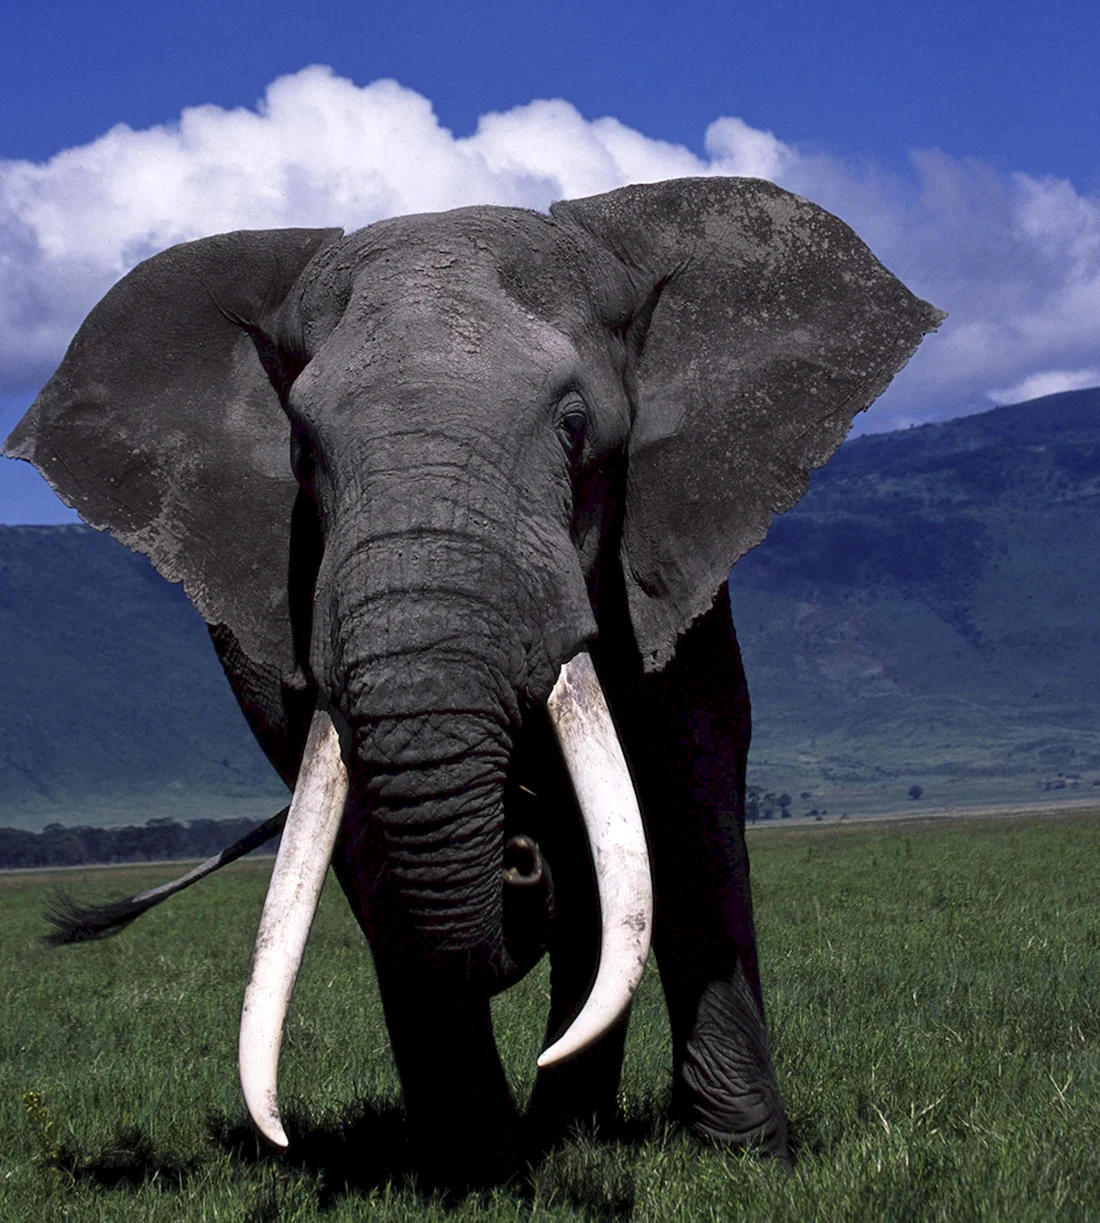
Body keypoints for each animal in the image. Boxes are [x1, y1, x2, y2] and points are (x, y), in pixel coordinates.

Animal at [5, 176, 941, 1182]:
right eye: (300, 453)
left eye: (575, 430)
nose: (518, 854)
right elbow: (360, 820)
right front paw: (480, 1177)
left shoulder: (671, 547)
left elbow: (688, 782)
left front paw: (748, 1165)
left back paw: (570, 1125)